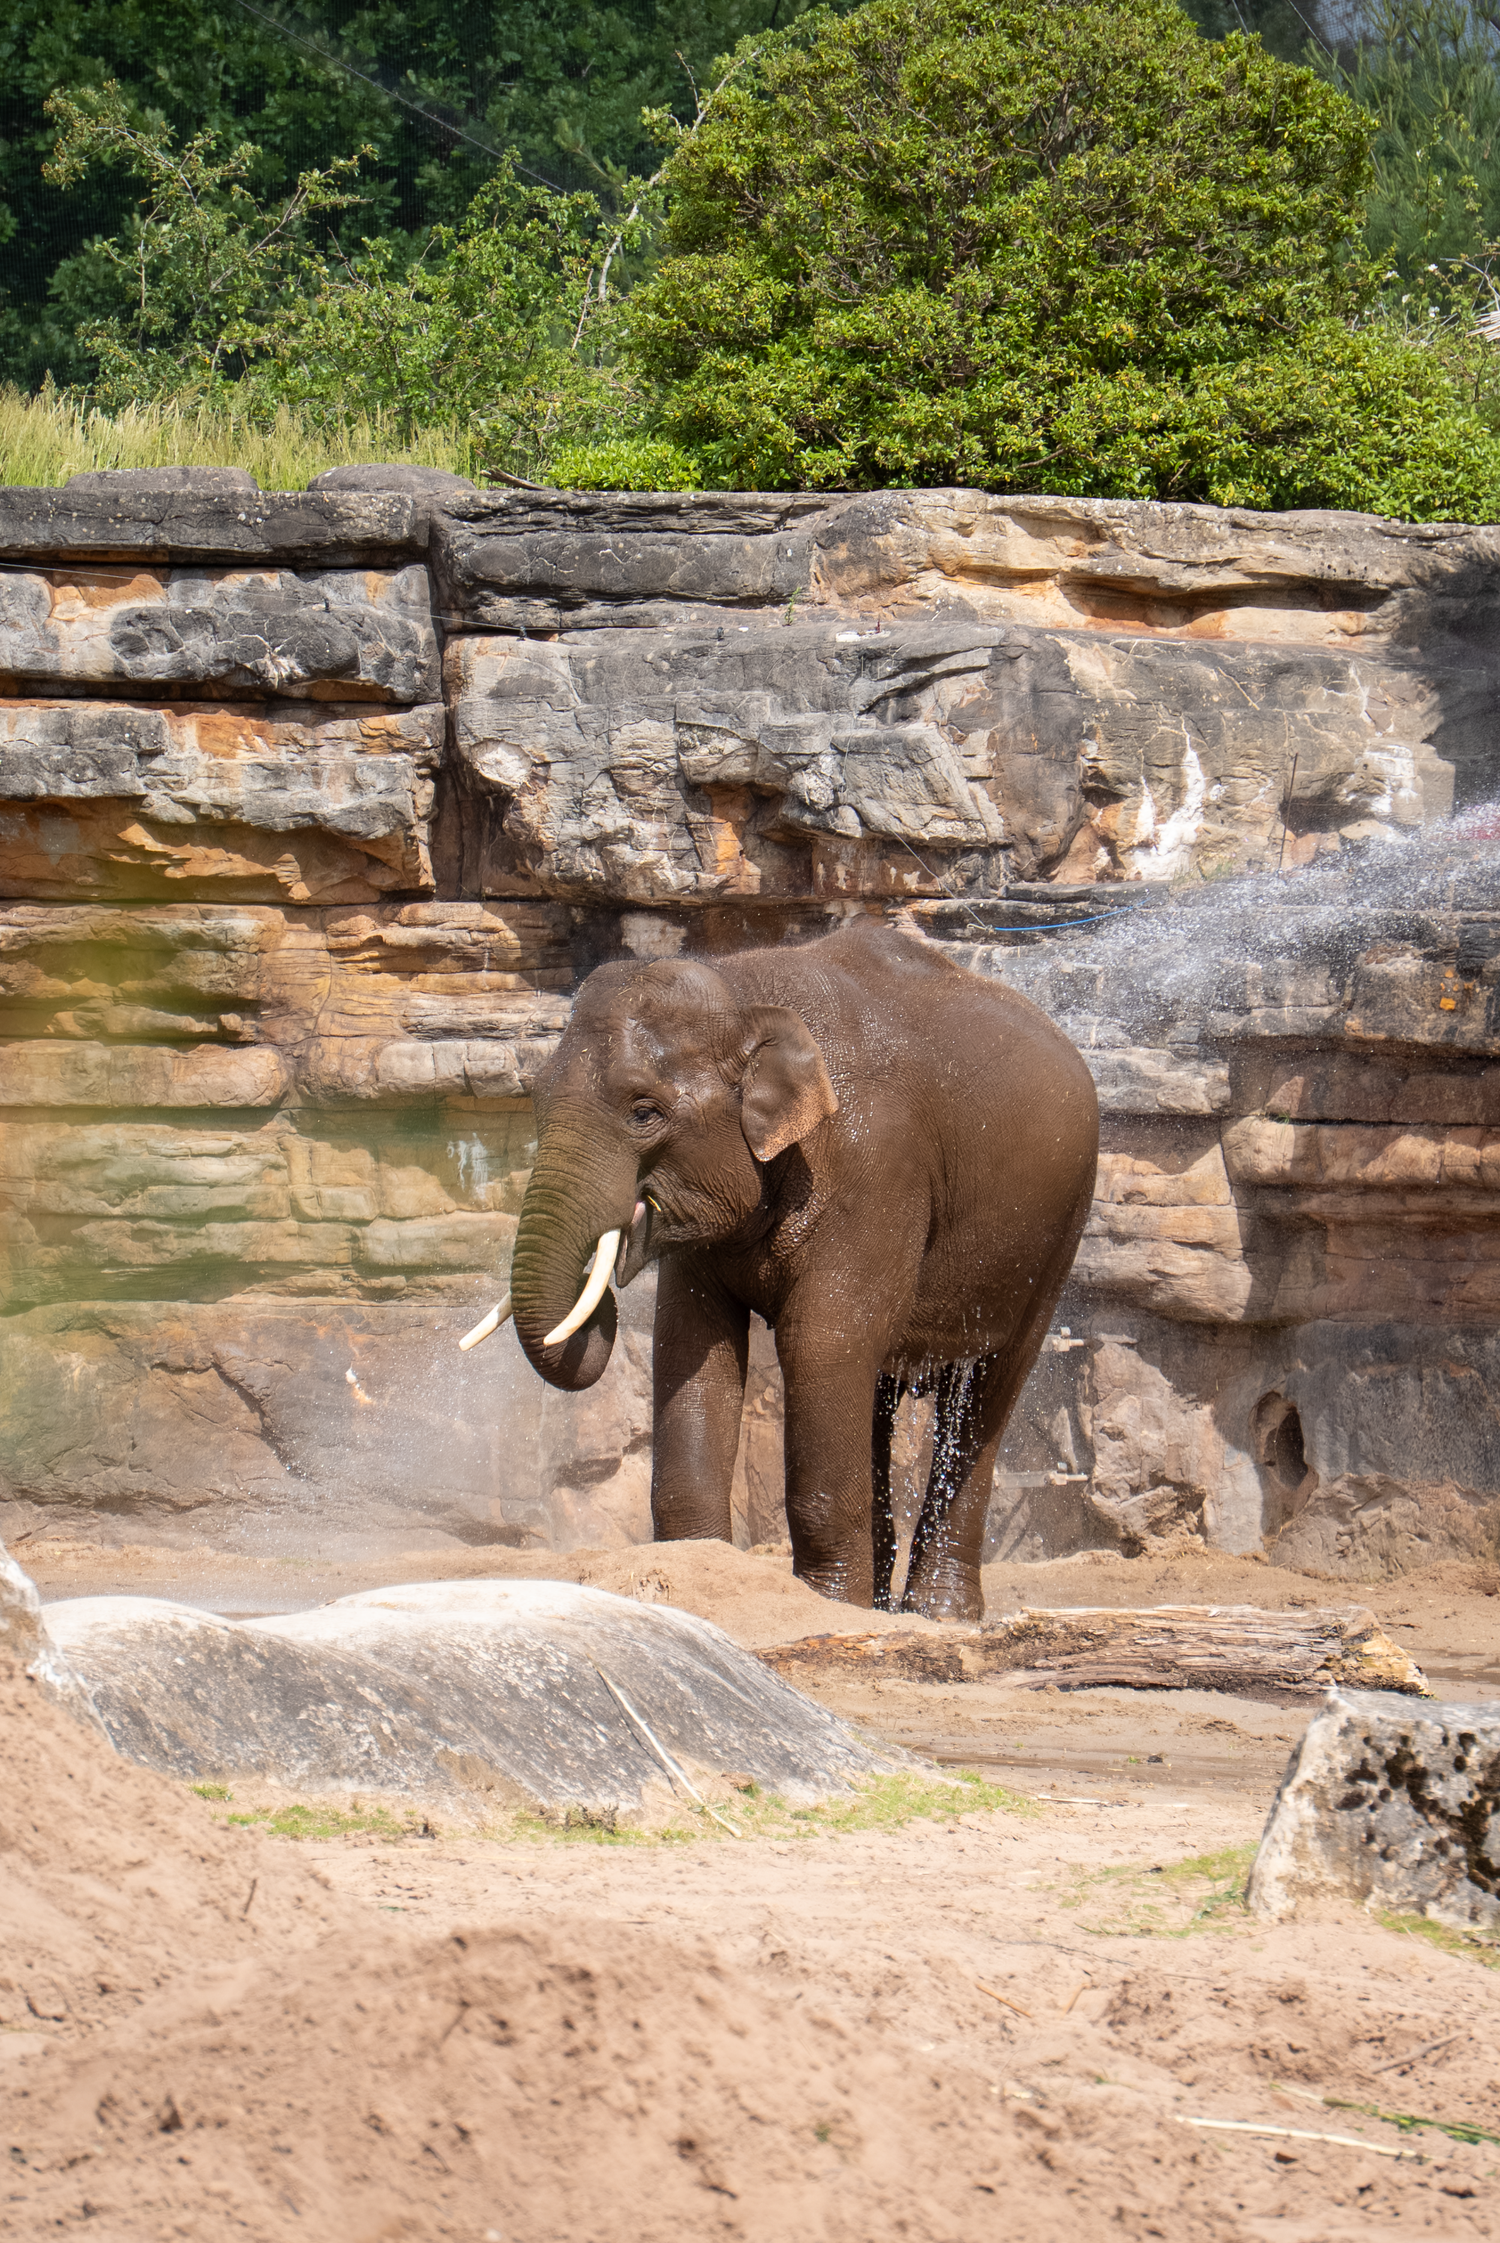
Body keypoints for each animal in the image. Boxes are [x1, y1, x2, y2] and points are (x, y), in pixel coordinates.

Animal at [462, 918, 1099, 1622]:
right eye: (537, 1100)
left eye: (644, 1111)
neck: (743, 988)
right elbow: (695, 1345)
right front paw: (697, 1575)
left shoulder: (874, 1171)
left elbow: (822, 1342)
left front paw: (825, 1606)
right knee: (878, 1390)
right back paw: (883, 1604)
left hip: (1062, 1224)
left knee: (991, 1384)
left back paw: (936, 1615)